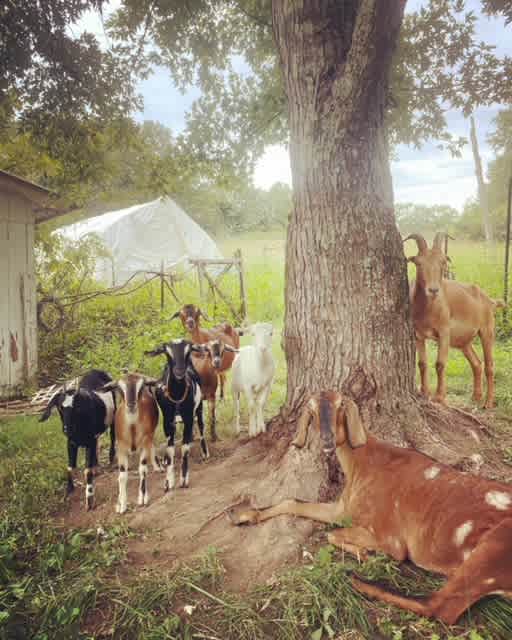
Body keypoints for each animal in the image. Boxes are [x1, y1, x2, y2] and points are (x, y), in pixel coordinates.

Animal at [39, 370, 117, 510]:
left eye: (76, 407)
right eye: (60, 407)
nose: (66, 429)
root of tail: (96, 371)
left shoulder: (90, 441)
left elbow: (87, 471)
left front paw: (89, 498)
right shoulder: (71, 442)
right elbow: (70, 467)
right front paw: (68, 492)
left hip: (113, 416)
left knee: (113, 436)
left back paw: (111, 459)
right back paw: (96, 466)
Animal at [144, 340, 208, 490]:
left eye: (188, 350)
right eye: (167, 353)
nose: (179, 371)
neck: (177, 396)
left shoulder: (189, 417)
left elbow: (184, 448)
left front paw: (183, 479)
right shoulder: (167, 421)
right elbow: (170, 451)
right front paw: (168, 481)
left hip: (199, 407)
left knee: (201, 426)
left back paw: (205, 453)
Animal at [230, 390, 512, 624]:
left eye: (340, 405)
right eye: (311, 409)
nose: (327, 440)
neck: (364, 463)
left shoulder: (392, 539)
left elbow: (335, 535)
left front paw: (365, 555)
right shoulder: (342, 509)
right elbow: (294, 502)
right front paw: (242, 514)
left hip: (494, 547)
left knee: (440, 607)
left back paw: (356, 580)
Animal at [408, 232, 504, 408]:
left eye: (442, 261)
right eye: (418, 263)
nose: (433, 290)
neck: (428, 308)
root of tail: (489, 300)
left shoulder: (444, 332)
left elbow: (440, 364)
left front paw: (439, 397)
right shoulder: (418, 335)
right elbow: (422, 364)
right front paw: (425, 393)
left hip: (487, 332)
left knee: (489, 366)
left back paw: (488, 403)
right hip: (464, 343)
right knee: (476, 364)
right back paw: (476, 397)